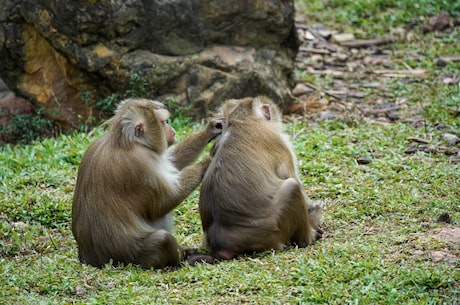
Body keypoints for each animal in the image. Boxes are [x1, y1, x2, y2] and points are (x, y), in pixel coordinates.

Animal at [72, 98, 223, 268]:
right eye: (164, 122)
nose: (172, 130)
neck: (126, 142)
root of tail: (90, 259)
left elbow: (172, 161)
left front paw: (210, 130)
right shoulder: (140, 165)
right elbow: (163, 202)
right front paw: (206, 162)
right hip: (132, 256)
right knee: (162, 239)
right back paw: (181, 258)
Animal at [199, 95, 324, 258]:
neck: (240, 119)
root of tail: (221, 247)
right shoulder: (280, 143)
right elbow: (292, 178)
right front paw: (314, 214)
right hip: (272, 232)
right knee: (292, 187)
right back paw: (308, 237)